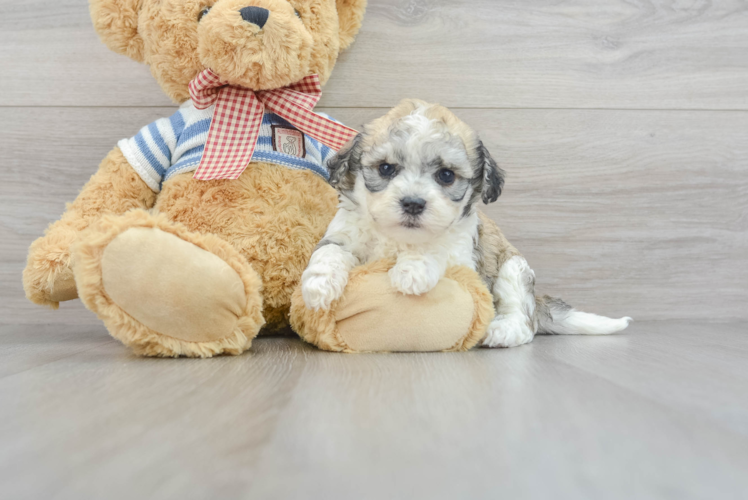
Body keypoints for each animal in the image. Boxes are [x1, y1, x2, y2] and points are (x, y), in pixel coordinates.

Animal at [300, 98, 628, 348]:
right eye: (386, 169)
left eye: (446, 175)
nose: (413, 203)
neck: (400, 238)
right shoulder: (343, 234)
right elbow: (329, 251)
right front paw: (319, 284)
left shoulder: (463, 257)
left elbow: (437, 248)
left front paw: (412, 269)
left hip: (513, 269)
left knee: (523, 322)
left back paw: (502, 331)